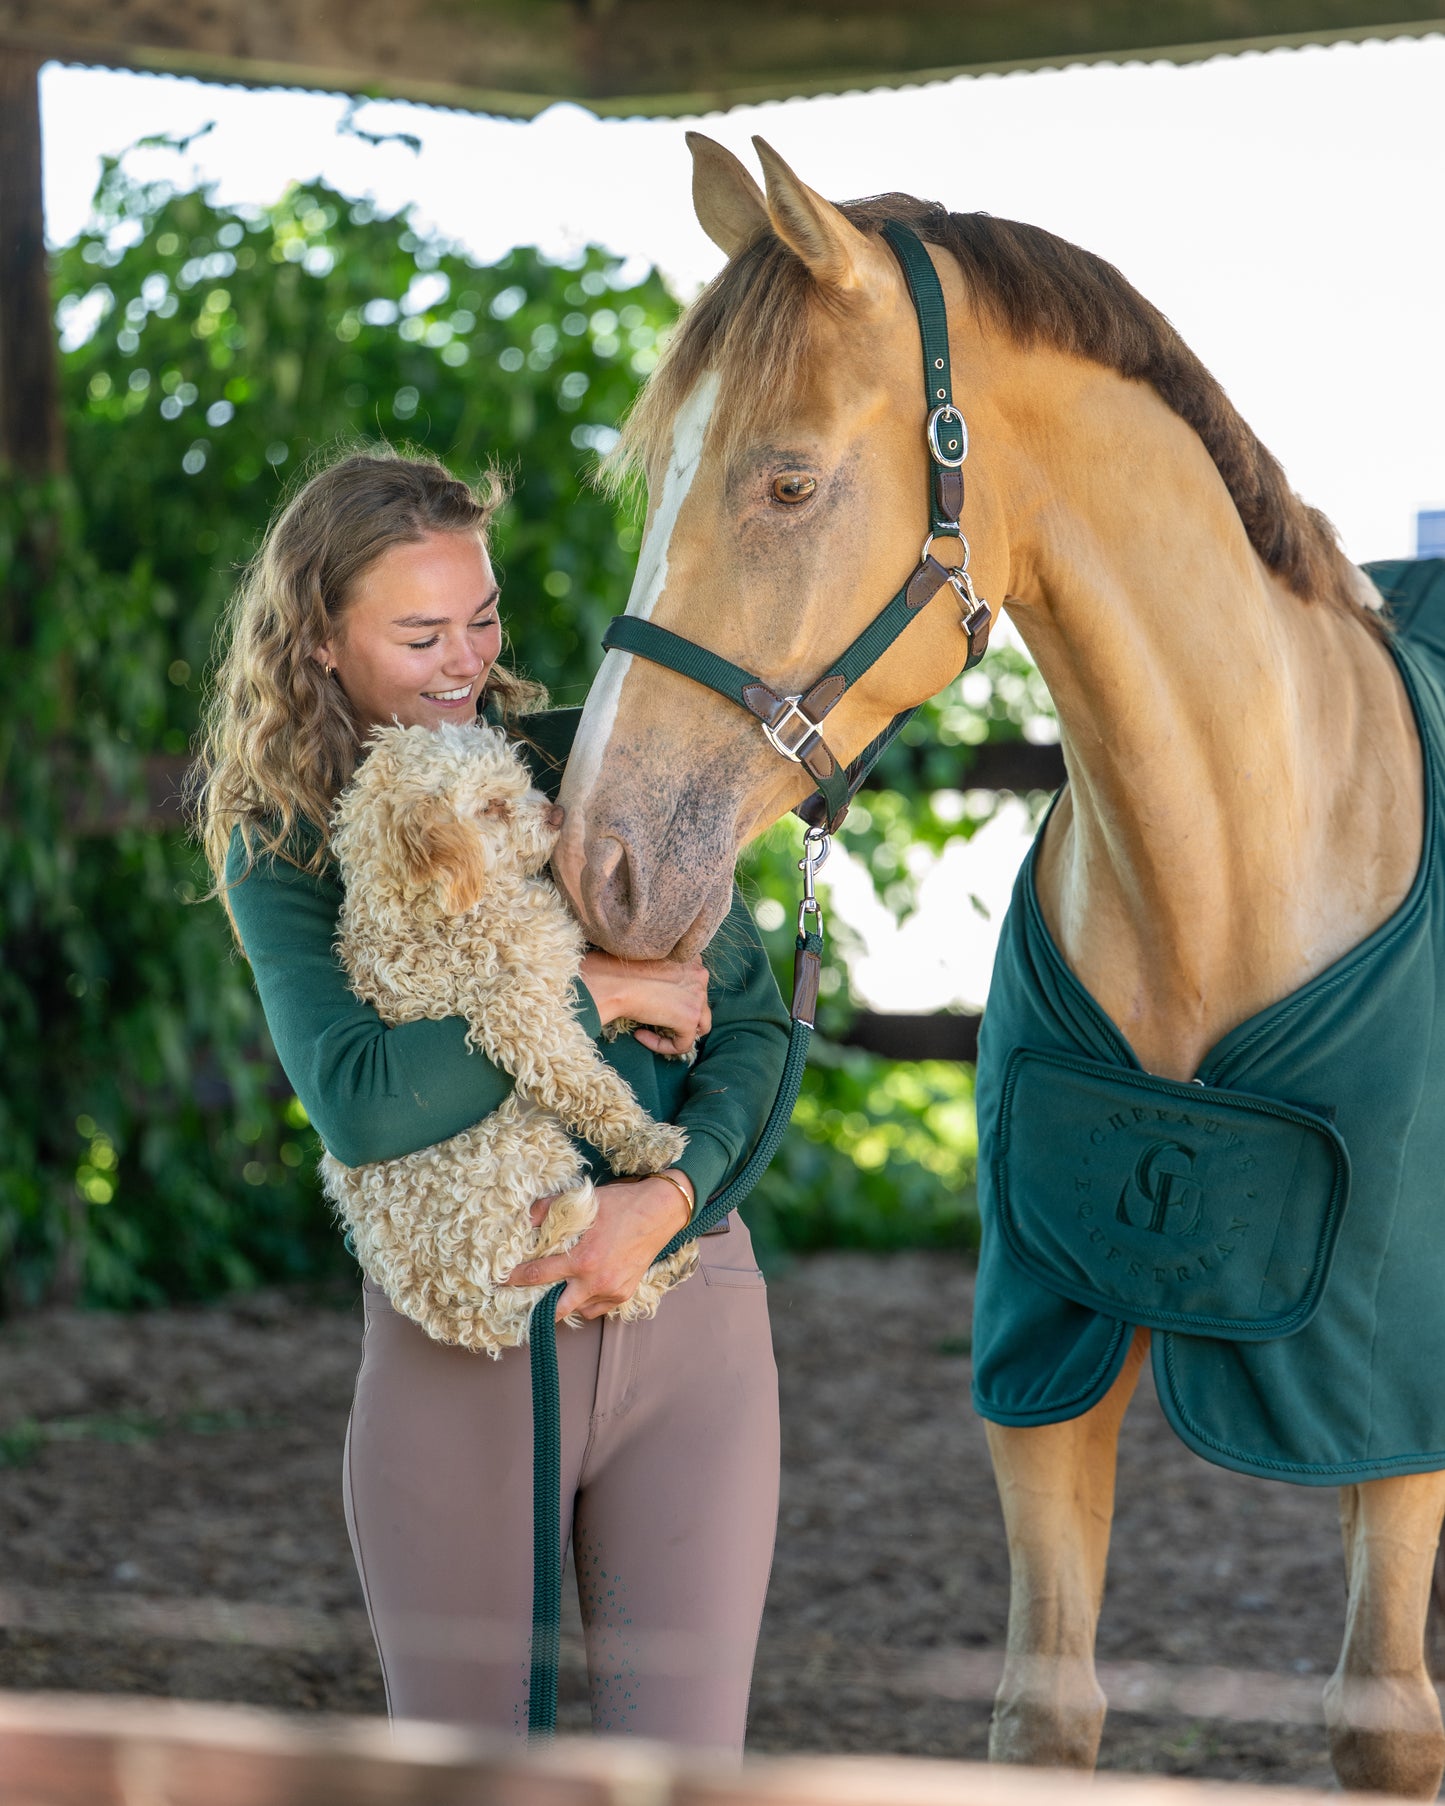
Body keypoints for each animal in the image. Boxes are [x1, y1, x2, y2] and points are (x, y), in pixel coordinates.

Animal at [552, 134, 1445, 1797]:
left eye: (787, 479)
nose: (599, 865)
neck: (1225, 869)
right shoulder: (1042, 1354)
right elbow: (1044, 1711)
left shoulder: (1386, 1399)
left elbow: (1382, 1724)